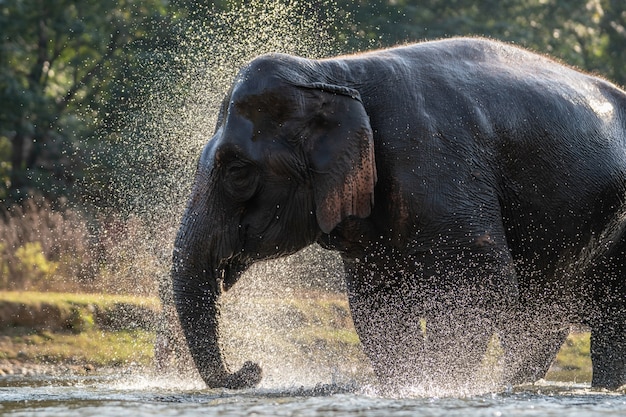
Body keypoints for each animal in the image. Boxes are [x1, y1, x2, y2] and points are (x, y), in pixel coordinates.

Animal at [171, 36, 624, 390]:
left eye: (237, 171)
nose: (251, 370)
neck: (334, 74)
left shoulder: (435, 162)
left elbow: (478, 280)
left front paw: (440, 385)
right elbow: (377, 300)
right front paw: (408, 384)